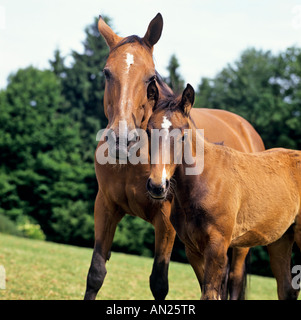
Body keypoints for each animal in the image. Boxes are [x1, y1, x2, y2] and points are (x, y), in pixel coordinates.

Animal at [83, 13, 264, 300]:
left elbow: (159, 282)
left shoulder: (166, 221)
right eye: (106, 72)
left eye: (150, 78)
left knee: (233, 281)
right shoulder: (105, 206)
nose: (122, 138)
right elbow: (96, 273)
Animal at [145, 82, 300, 300]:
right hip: (281, 239)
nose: (157, 186)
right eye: (148, 132)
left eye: (183, 135)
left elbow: (210, 294)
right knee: (286, 288)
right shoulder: (193, 250)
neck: (204, 180)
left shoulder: (218, 246)